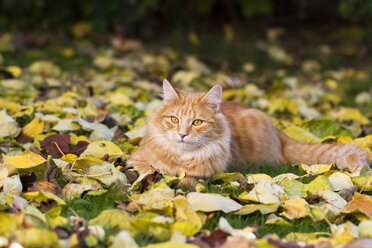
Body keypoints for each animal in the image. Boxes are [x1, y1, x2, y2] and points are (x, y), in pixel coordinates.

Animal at [128, 80, 370, 183]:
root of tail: (279, 131)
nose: (182, 134)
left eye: (197, 122)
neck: (181, 157)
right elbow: (148, 168)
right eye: (174, 119)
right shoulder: (137, 158)